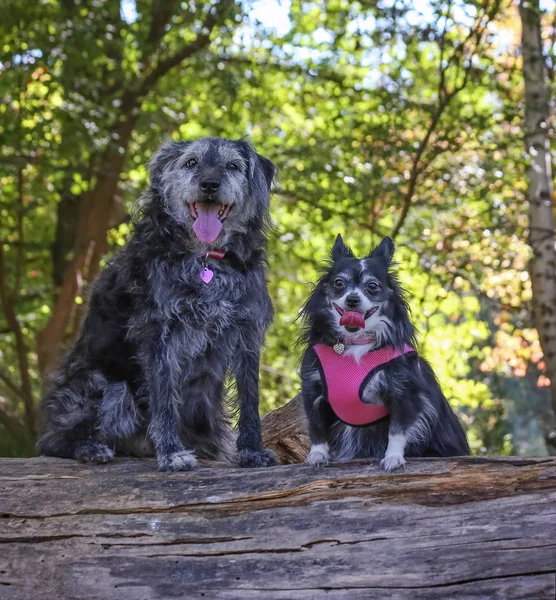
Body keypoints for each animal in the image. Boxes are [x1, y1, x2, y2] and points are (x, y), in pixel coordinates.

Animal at [37, 138, 276, 472]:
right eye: (191, 163)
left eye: (233, 166)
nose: (209, 185)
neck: (207, 260)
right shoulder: (159, 333)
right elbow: (164, 399)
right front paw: (172, 452)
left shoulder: (247, 332)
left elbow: (250, 398)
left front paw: (252, 450)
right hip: (105, 386)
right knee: (50, 440)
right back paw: (89, 448)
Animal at [300, 234, 470, 474]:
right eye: (339, 283)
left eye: (372, 286)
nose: (352, 299)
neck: (356, 342)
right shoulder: (313, 391)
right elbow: (316, 427)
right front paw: (317, 454)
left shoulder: (403, 393)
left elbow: (397, 430)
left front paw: (393, 458)